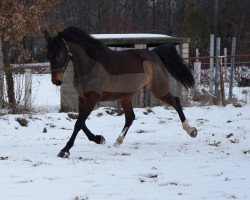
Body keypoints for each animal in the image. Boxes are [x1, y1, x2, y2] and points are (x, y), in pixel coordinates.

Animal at [44, 26, 197, 158]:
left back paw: (191, 131)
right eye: (48, 56)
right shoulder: (82, 98)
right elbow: (81, 123)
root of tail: (154, 54)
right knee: (130, 117)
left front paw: (65, 150)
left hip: (159, 90)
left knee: (176, 102)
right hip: (126, 96)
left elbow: (79, 123)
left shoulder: (93, 97)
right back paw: (117, 141)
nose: (56, 81)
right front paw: (99, 139)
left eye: (59, 54)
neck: (91, 65)